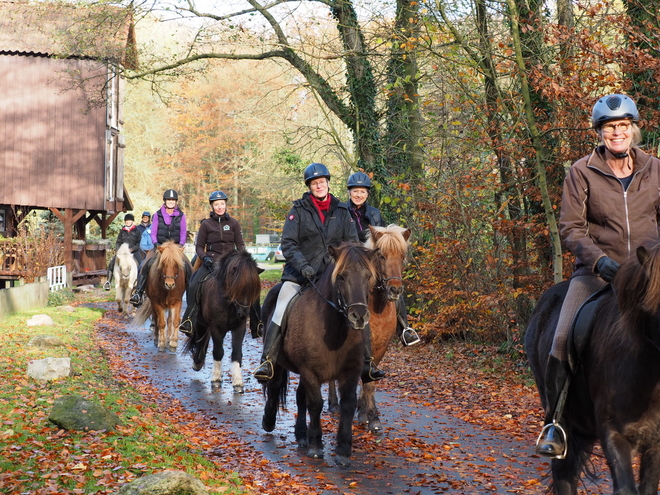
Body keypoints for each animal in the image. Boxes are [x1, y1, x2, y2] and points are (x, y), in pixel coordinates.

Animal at [183, 252, 262, 396]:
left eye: (253, 290)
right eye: (238, 287)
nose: (243, 314)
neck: (229, 304)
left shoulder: (239, 328)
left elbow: (236, 353)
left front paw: (238, 383)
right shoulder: (216, 328)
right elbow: (218, 351)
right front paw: (216, 379)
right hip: (200, 322)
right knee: (199, 339)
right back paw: (197, 362)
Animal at [260, 242, 378, 466]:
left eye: (368, 276)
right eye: (341, 276)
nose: (359, 317)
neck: (334, 328)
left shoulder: (351, 371)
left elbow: (347, 405)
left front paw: (343, 450)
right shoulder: (310, 371)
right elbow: (315, 404)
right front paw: (316, 446)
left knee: (299, 397)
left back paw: (301, 434)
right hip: (278, 363)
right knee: (274, 386)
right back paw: (269, 421)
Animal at [328, 223, 410, 432]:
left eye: (402, 256)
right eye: (381, 256)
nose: (395, 289)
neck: (377, 308)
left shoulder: (381, 346)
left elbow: (370, 380)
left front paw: (368, 414)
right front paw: (365, 413)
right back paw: (333, 404)